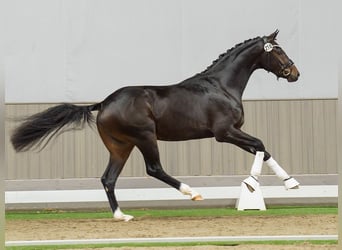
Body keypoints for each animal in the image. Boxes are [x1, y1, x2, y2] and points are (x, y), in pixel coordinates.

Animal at [10, 30, 300, 221]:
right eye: (279, 50)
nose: (295, 74)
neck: (221, 86)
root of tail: (104, 103)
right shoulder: (225, 132)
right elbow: (260, 144)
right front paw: (251, 184)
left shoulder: (232, 133)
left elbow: (264, 149)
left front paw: (291, 183)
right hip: (145, 137)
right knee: (154, 168)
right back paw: (192, 193)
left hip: (121, 146)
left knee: (108, 178)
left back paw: (121, 216)